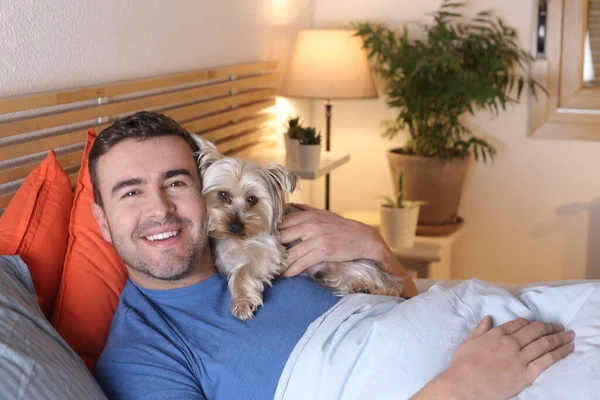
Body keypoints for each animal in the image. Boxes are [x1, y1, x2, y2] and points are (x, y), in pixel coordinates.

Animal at [196, 142, 404, 320]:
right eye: (223, 195)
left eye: (252, 199)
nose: (235, 226)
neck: (237, 240)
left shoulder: (270, 252)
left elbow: (242, 271)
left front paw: (242, 302)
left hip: (353, 263)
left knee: (381, 281)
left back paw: (370, 287)